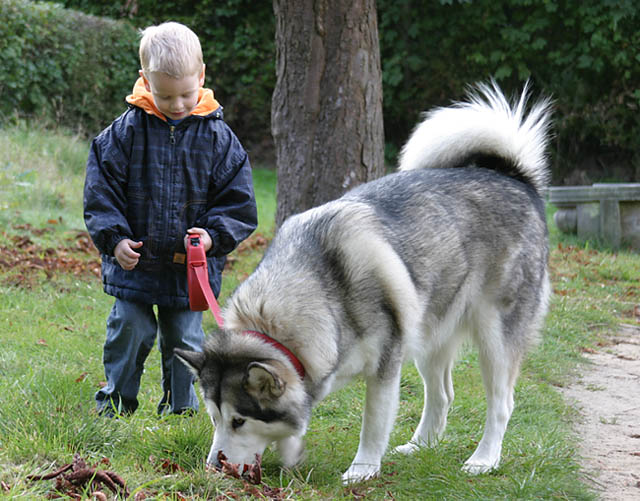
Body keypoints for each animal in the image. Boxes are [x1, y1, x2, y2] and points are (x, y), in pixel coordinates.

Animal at [175, 83, 552, 484]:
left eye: (239, 421)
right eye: (214, 418)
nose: (213, 467)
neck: (323, 293)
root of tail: (513, 177)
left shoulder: (386, 367)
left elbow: (373, 423)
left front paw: (363, 469)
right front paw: (292, 451)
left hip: (494, 337)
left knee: (501, 402)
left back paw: (484, 459)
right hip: (427, 329)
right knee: (442, 395)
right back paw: (420, 446)